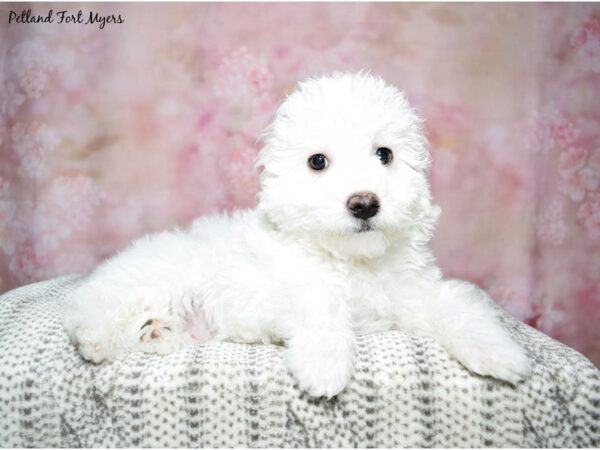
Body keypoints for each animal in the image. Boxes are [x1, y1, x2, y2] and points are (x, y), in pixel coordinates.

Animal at [64, 73, 528, 398]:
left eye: (385, 155)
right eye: (317, 162)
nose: (364, 203)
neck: (351, 260)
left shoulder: (413, 292)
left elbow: (457, 307)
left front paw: (501, 354)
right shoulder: (276, 286)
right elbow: (321, 301)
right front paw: (324, 368)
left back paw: (158, 331)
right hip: (157, 278)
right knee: (99, 308)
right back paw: (96, 339)